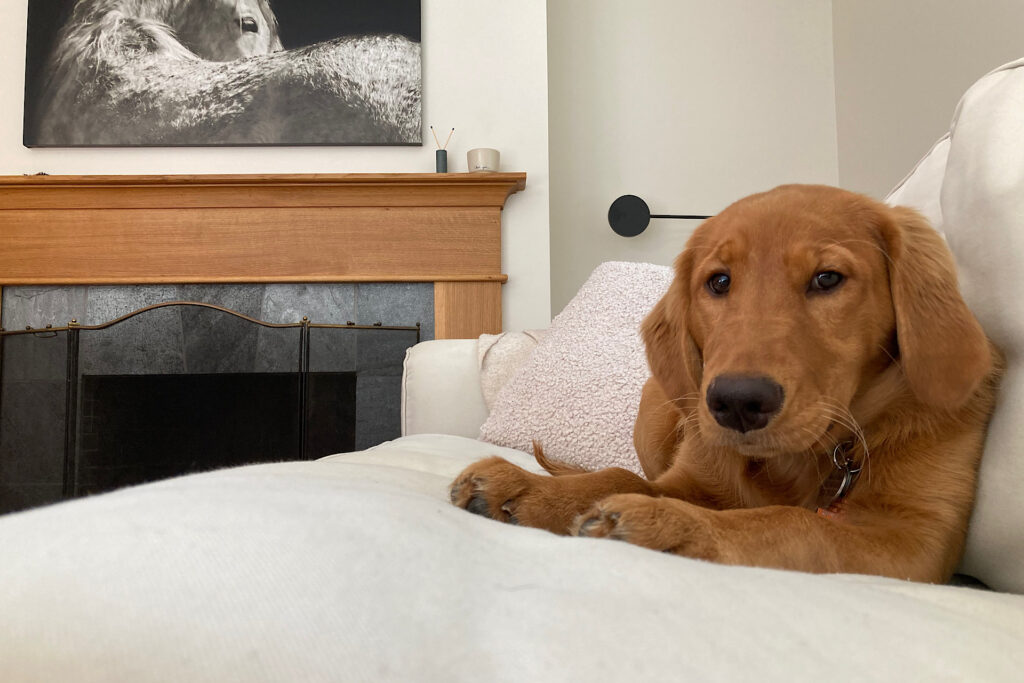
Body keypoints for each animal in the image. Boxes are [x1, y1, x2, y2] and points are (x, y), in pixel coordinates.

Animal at [448, 185, 999, 581]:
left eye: (827, 279)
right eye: (718, 282)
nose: (735, 403)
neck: (804, 460)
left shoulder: (916, 541)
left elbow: (796, 523)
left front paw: (677, 529)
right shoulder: (693, 478)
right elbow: (622, 478)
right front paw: (529, 490)